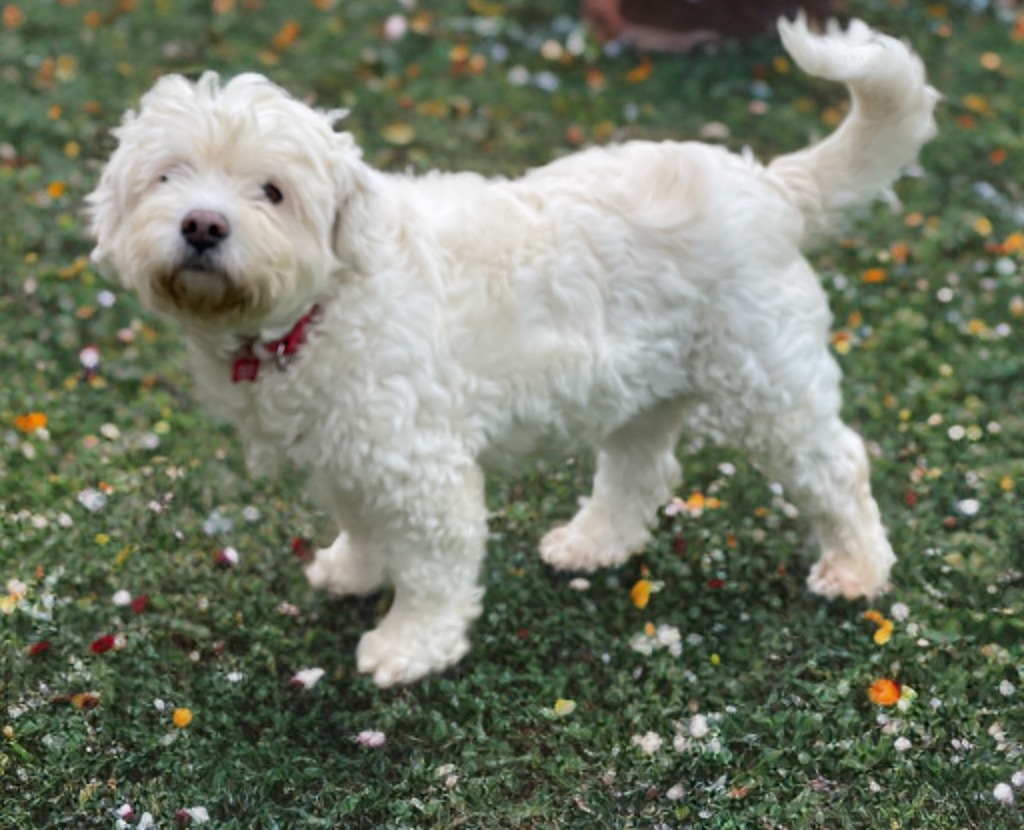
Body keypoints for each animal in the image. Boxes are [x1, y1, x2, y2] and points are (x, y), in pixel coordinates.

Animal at [88, 17, 937, 687]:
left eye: (271, 191)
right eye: (168, 176)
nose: (202, 225)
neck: (321, 305)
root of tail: (770, 187)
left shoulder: (420, 468)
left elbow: (433, 564)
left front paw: (410, 645)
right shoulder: (344, 453)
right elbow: (361, 525)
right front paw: (356, 571)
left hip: (767, 382)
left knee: (837, 464)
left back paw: (857, 569)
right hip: (646, 383)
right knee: (641, 470)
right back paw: (595, 543)